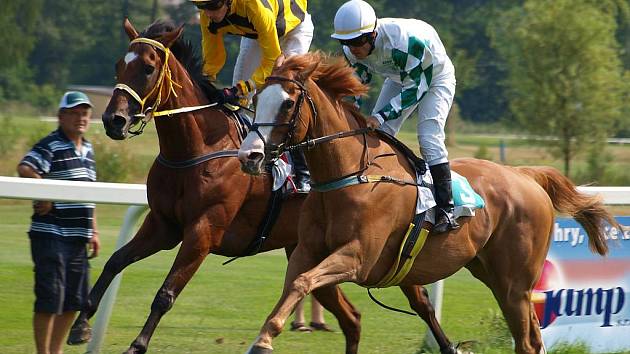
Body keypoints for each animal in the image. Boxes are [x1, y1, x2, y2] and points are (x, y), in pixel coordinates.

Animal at [66, 20, 456, 354]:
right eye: (119, 64)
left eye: (147, 68)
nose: (113, 120)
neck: (196, 150)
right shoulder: (164, 225)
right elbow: (115, 261)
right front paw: (81, 325)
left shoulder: (203, 231)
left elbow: (166, 292)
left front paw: (137, 344)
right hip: (311, 251)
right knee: (352, 317)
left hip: (387, 251)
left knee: (419, 302)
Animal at [239, 53, 620, 354]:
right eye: (257, 99)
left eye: (288, 103)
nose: (250, 156)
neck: (350, 176)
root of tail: (525, 175)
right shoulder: (307, 250)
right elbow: (295, 283)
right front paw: (267, 334)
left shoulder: (357, 257)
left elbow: (303, 283)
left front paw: (263, 343)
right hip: (490, 271)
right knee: (533, 339)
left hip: (516, 283)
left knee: (527, 342)